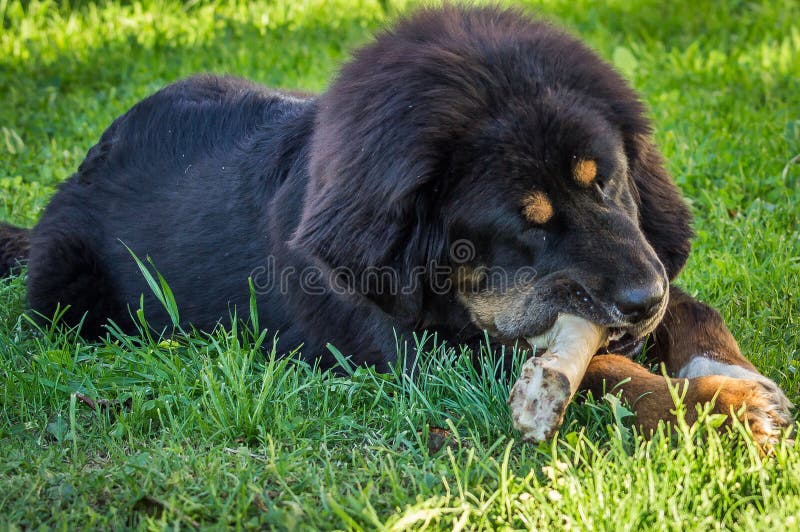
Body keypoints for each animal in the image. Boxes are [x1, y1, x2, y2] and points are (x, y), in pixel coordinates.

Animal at [0, 4, 792, 442]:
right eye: (527, 226)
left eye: (609, 183)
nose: (639, 300)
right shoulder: (443, 351)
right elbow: (611, 372)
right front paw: (724, 413)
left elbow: (695, 311)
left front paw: (736, 379)